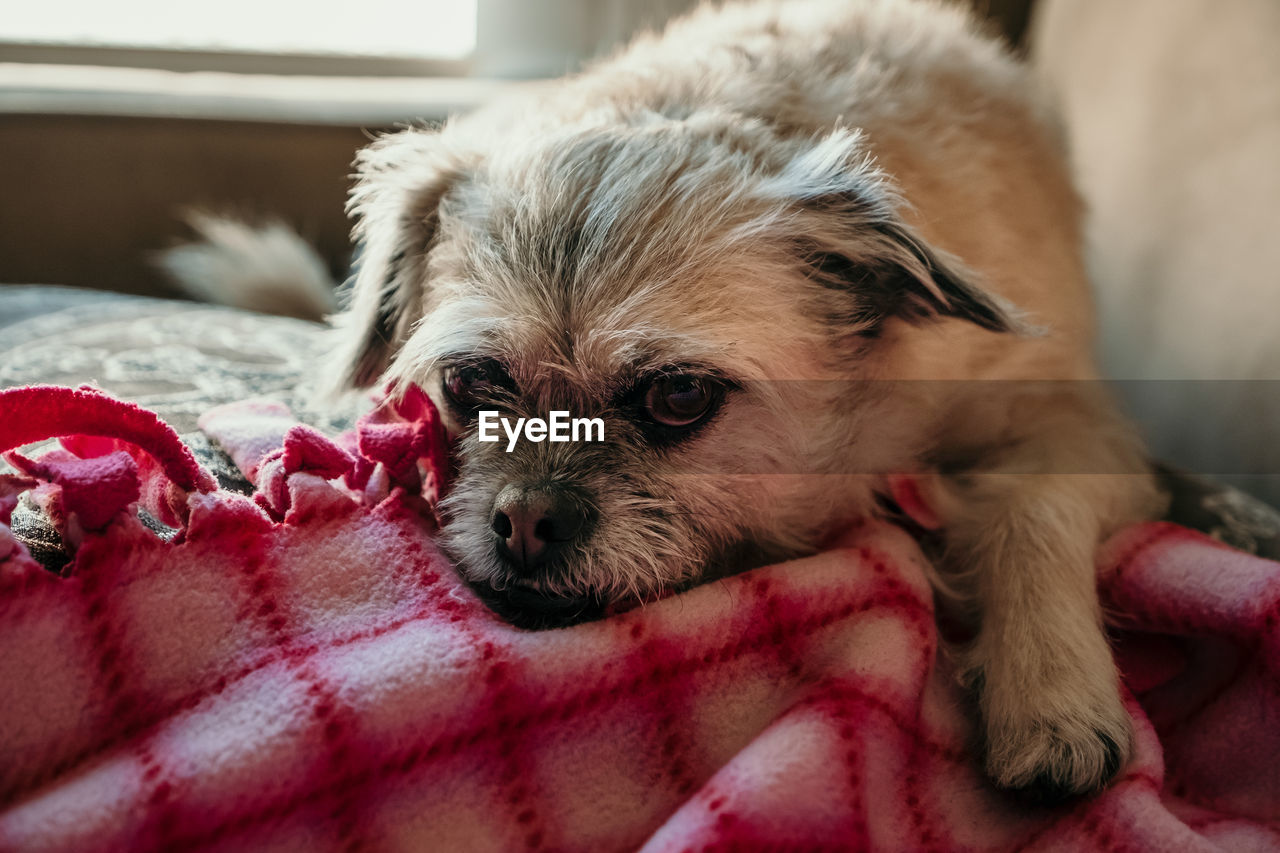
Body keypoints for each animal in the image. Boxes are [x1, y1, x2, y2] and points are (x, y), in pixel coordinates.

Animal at [172, 0, 1172, 799]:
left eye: (680, 397)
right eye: (470, 383)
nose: (526, 519)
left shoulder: (1072, 424)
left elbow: (1032, 510)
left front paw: (1052, 690)